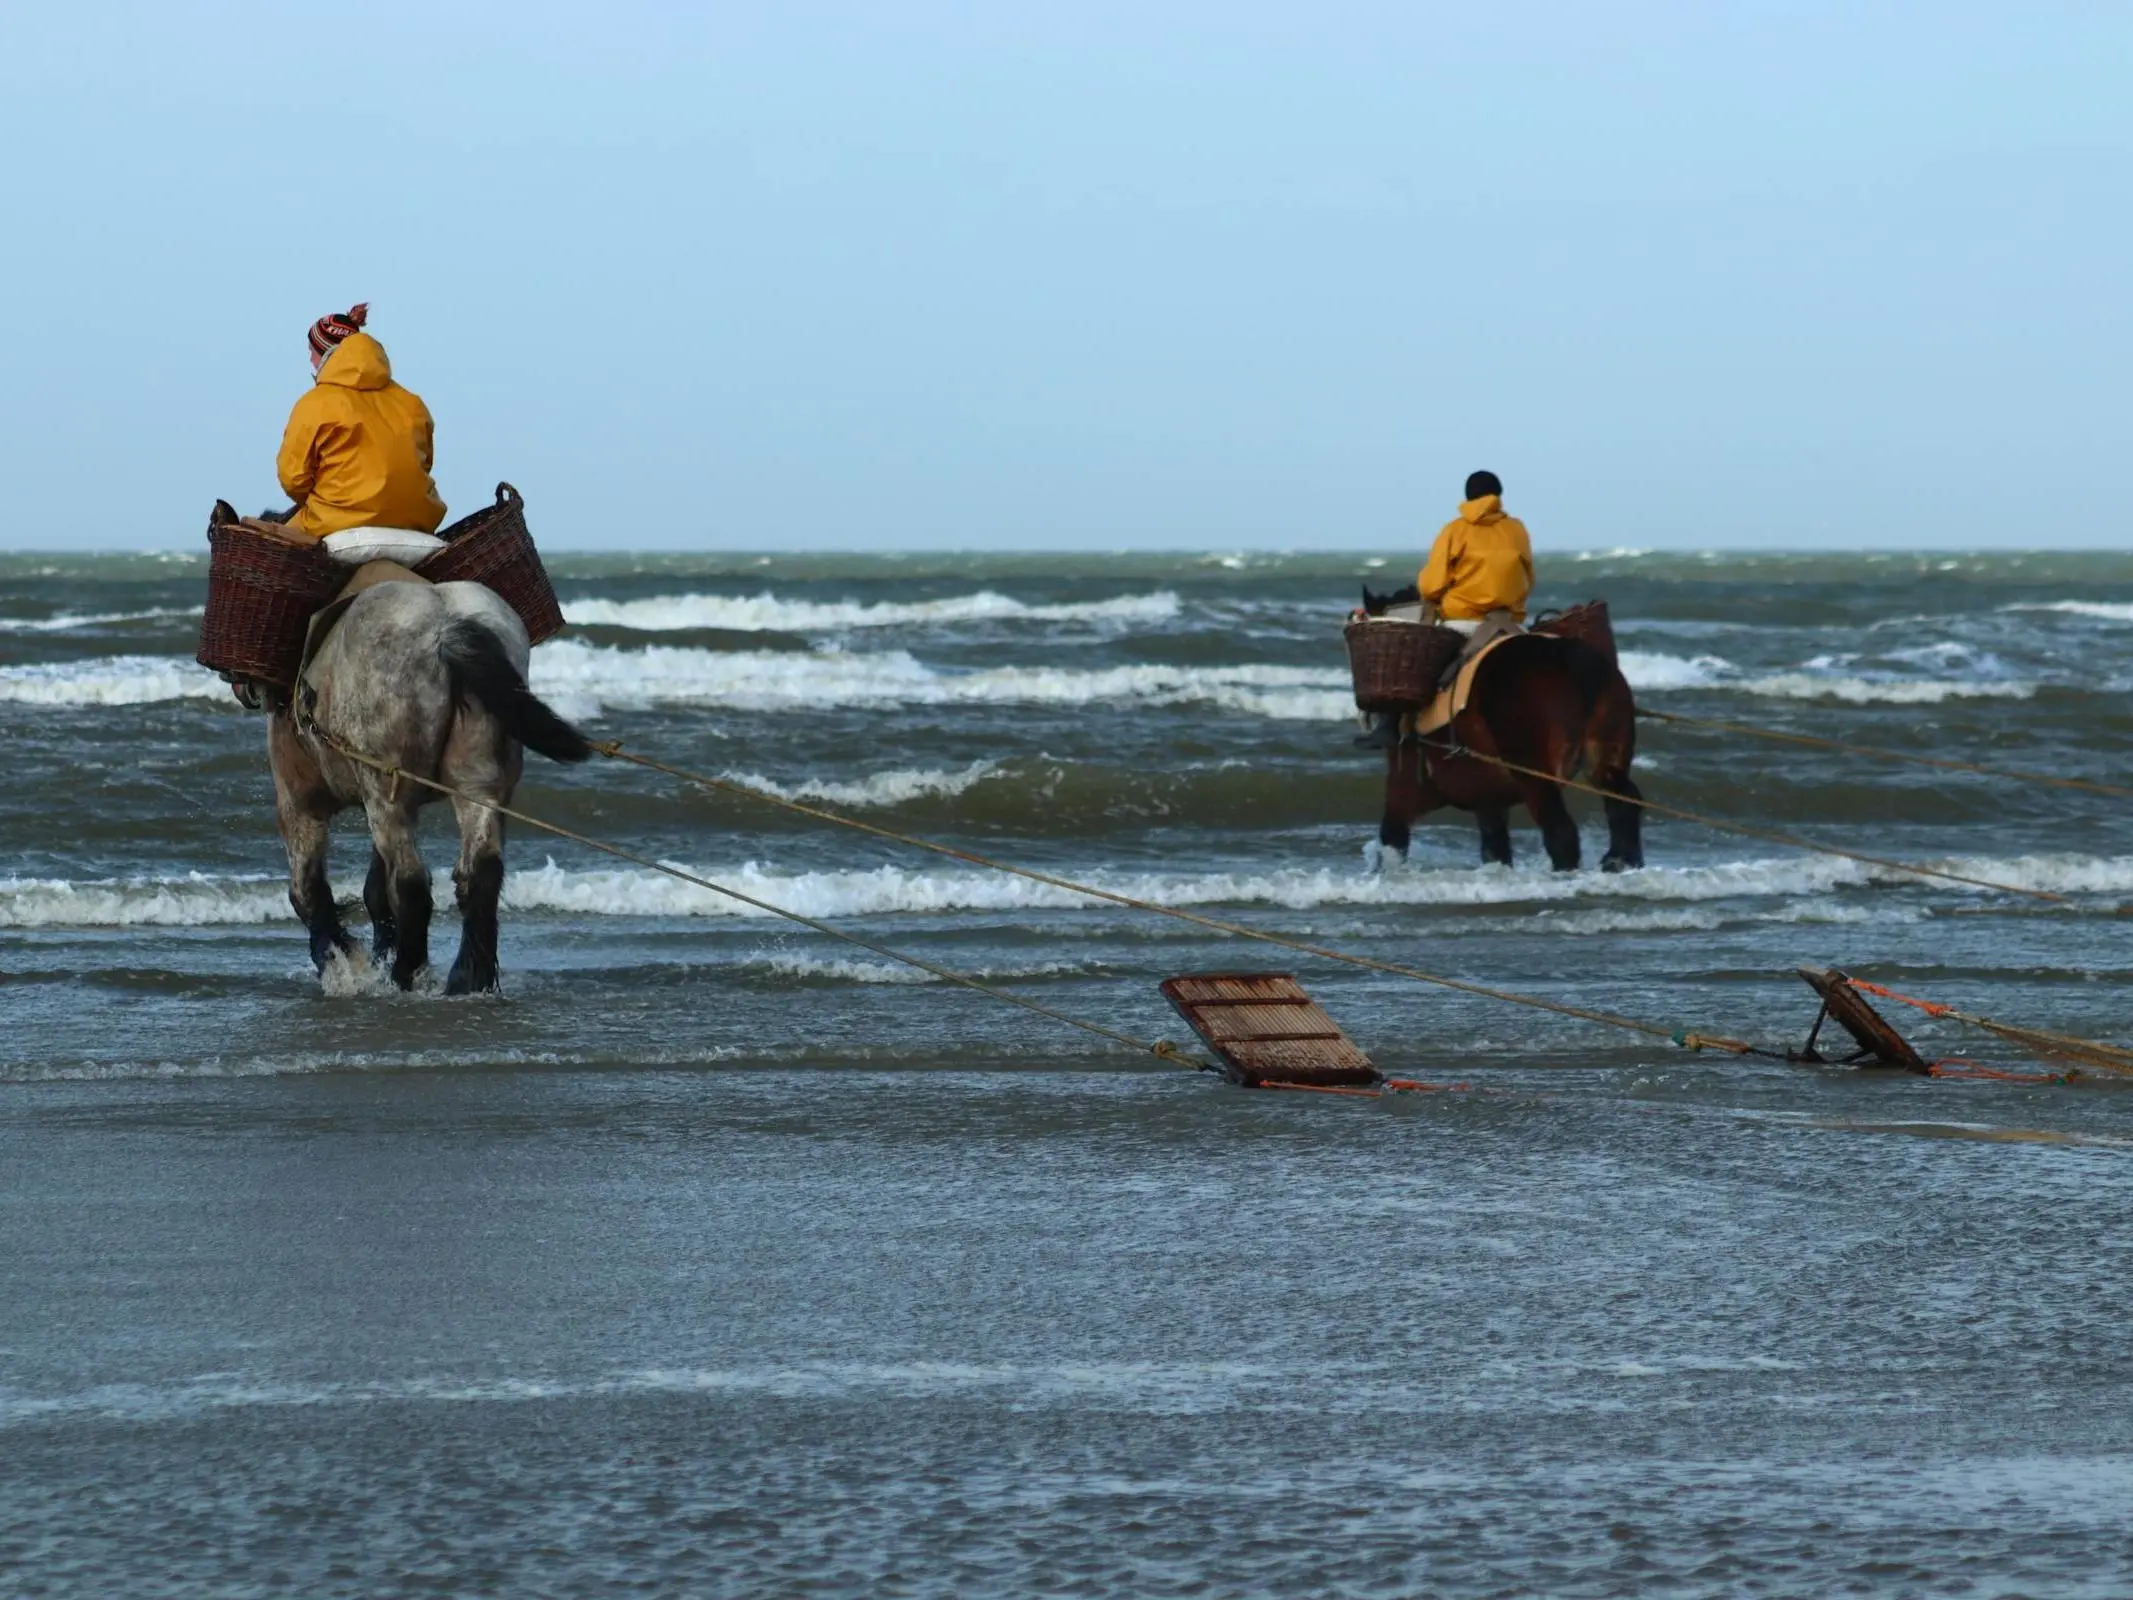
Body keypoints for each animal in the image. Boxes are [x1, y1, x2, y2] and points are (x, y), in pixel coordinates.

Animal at [273, 584, 601, 998]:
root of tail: (445, 627)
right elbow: (373, 889)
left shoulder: (299, 803)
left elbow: (307, 891)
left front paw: (341, 965)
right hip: (477, 782)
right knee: (481, 871)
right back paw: (466, 978)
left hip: (385, 790)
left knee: (411, 883)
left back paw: (406, 975)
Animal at [1356, 588, 1638, 870]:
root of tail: (1578, 668)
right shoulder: (1488, 797)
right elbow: (1495, 848)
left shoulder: (1406, 786)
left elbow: (1392, 838)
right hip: (1607, 760)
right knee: (1624, 807)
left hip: (1535, 774)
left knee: (1561, 832)